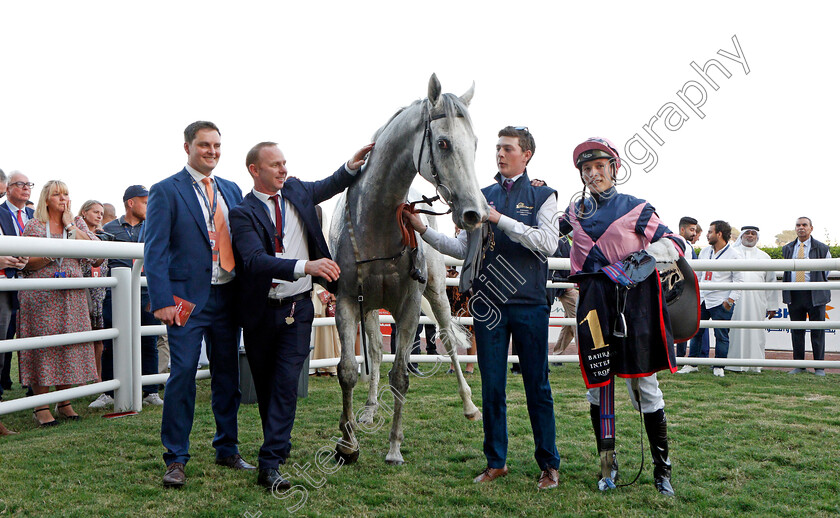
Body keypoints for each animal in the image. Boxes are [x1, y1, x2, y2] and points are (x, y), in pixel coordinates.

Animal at [328, 74, 486, 468]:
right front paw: (348, 441)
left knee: (448, 340)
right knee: (372, 349)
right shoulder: (347, 302)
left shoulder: (410, 305)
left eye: (475, 144)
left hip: (438, 295)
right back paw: (370, 409)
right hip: (371, 308)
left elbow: (400, 376)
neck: (376, 222)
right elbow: (349, 370)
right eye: (443, 143)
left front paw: (394, 447)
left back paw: (470, 405)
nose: (475, 213)